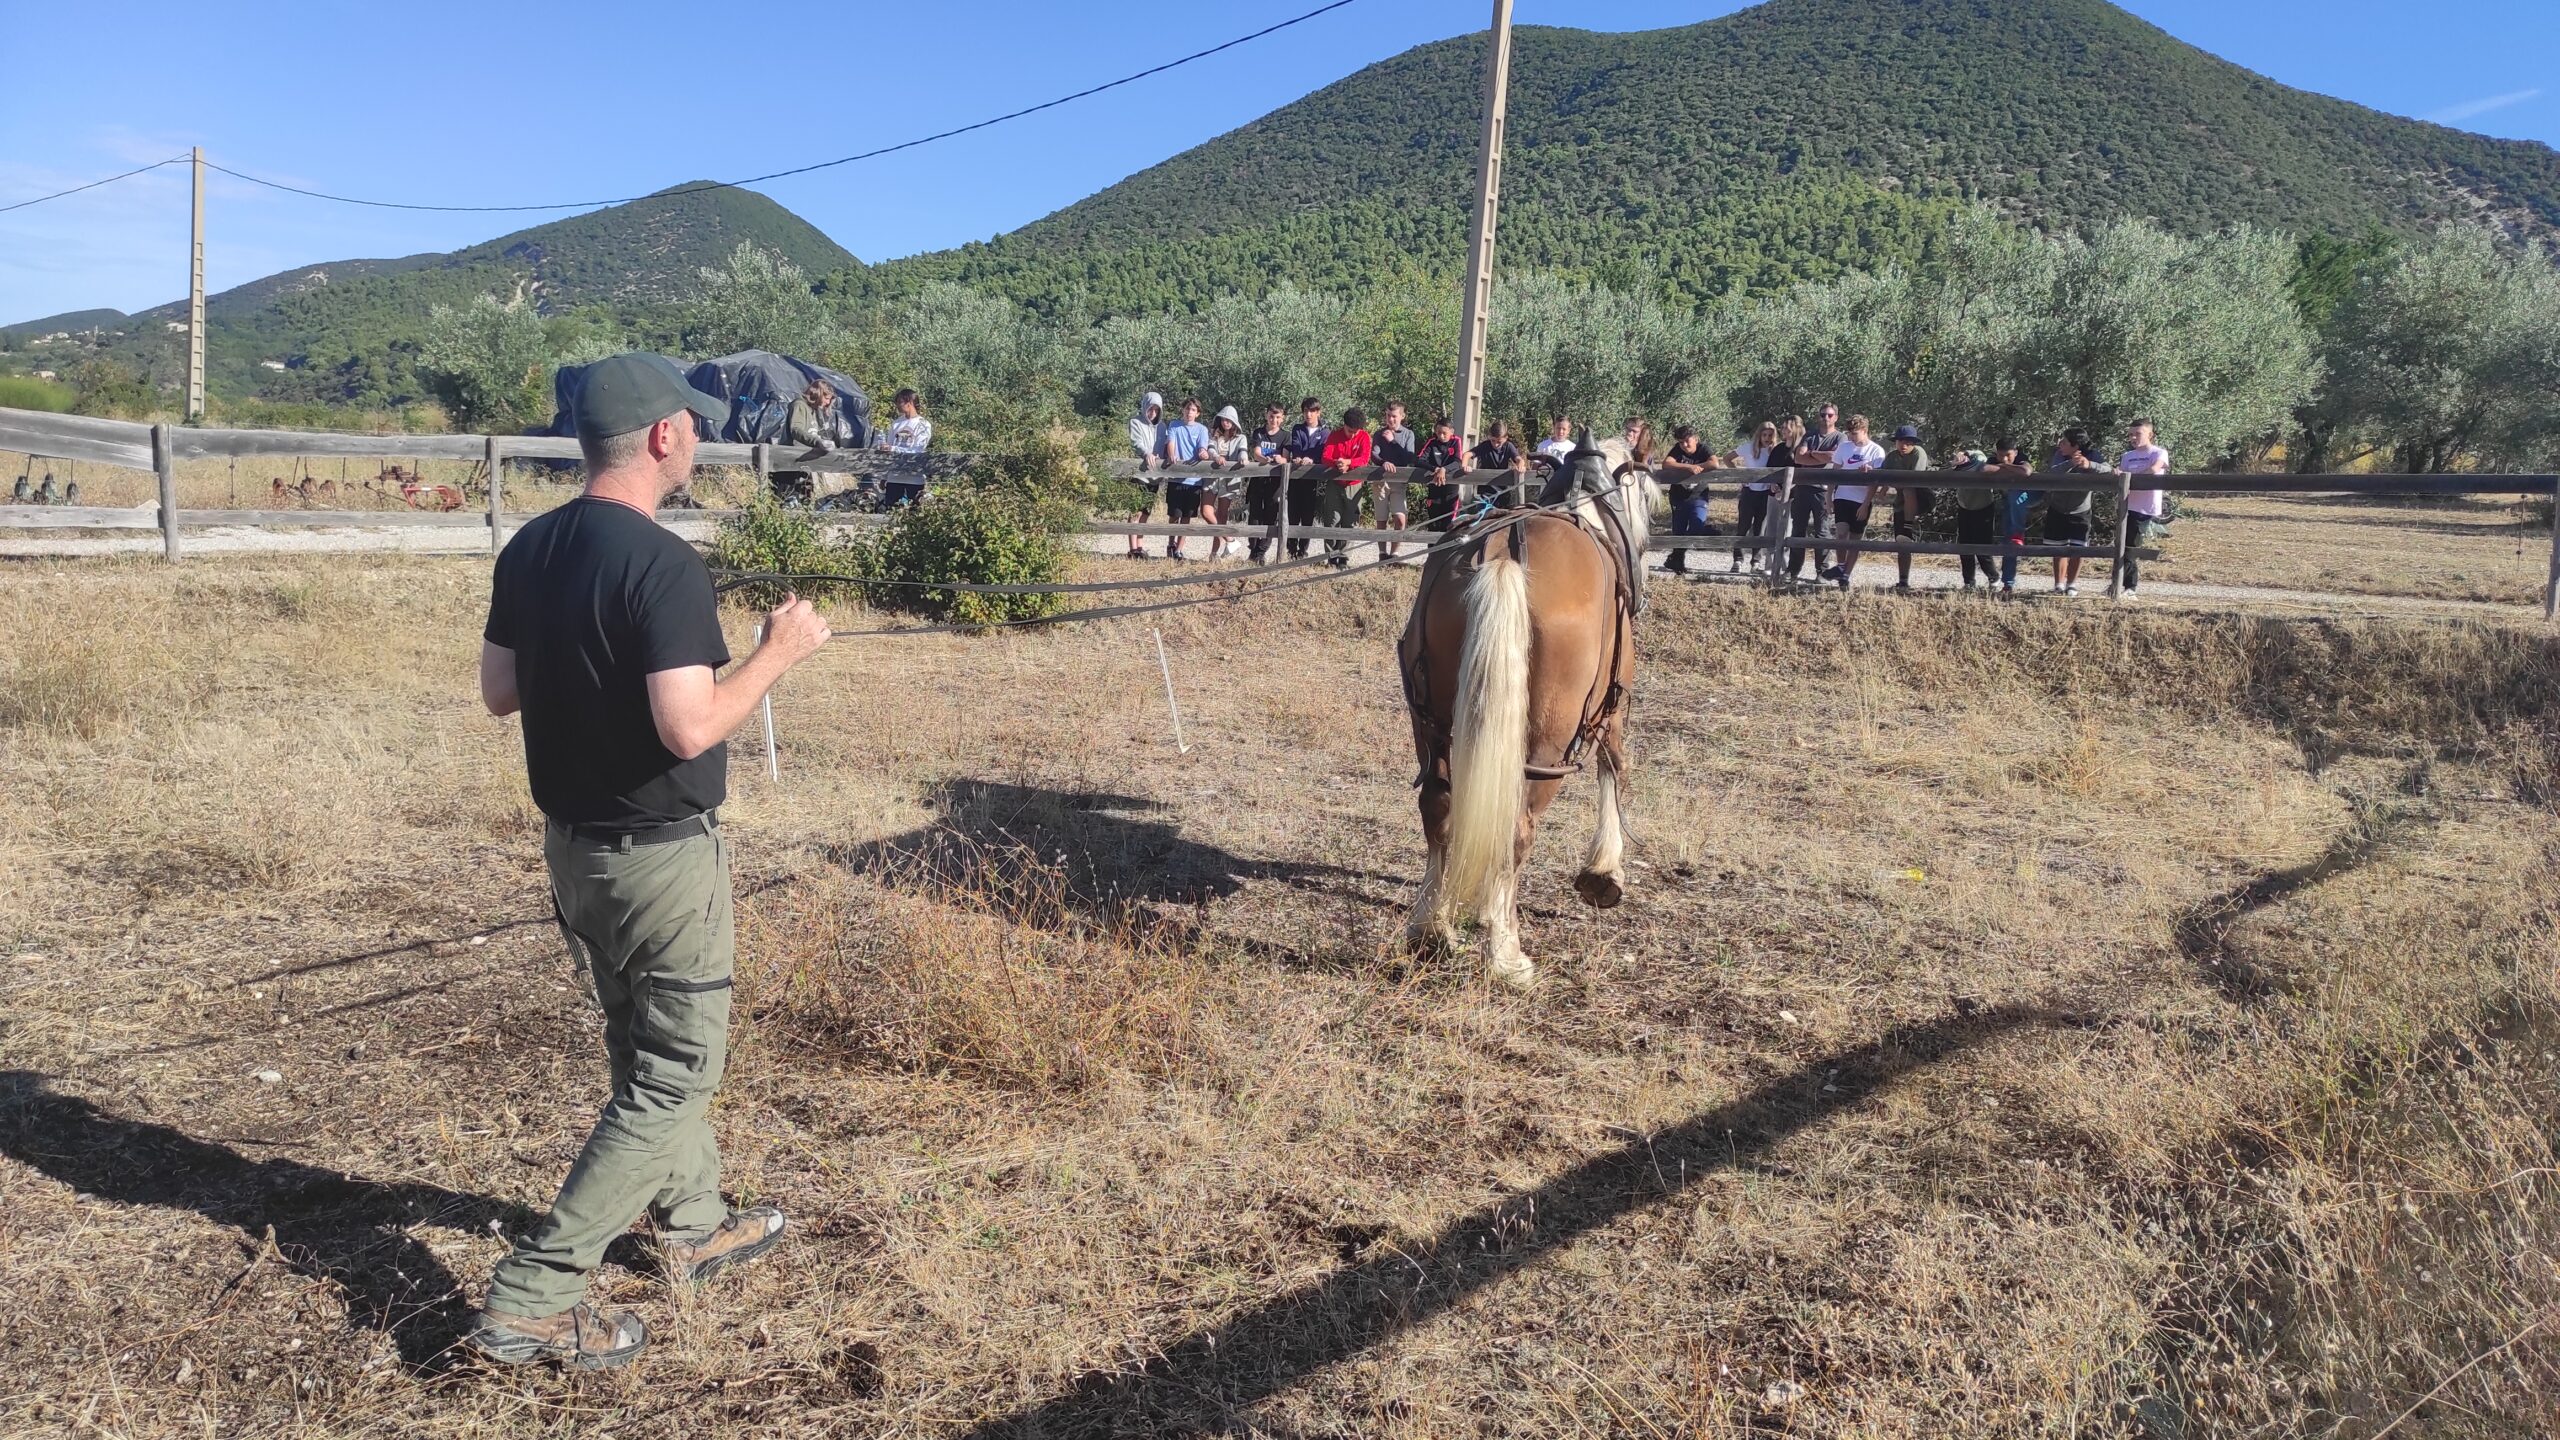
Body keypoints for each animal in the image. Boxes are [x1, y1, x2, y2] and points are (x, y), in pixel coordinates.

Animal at [1398, 436, 1655, 989]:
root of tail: (1502, 554)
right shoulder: (1615, 703)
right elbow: (1615, 769)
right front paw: (1604, 872)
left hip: (1430, 723)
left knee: (1437, 806)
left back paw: (1431, 927)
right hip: (1547, 744)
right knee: (1517, 829)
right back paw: (1505, 953)